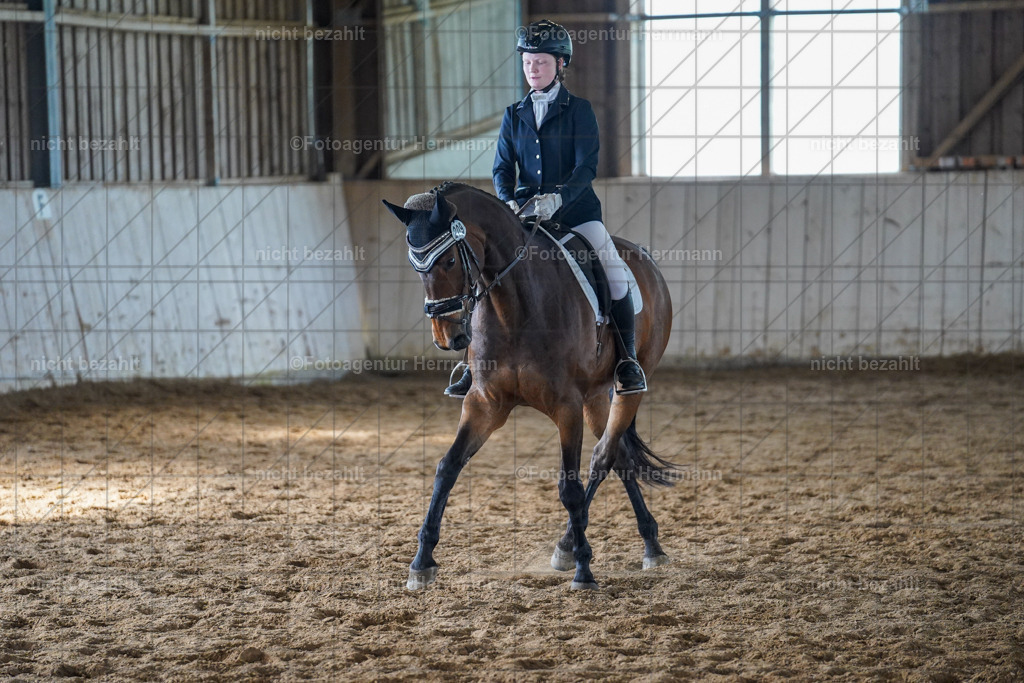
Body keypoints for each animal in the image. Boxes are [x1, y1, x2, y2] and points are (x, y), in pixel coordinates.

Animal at [382, 182, 675, 590]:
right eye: (415, 265)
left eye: (450, 261)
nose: (447, 337)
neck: (514, 307)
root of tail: (645, 259)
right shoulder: (484, 403)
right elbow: (447, 468)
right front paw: (422, 562)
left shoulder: (566, 406)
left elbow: (569, 487)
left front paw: (584, 571)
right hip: (595, 396)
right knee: (618, 456)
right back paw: (643, 543)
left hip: (628, 386)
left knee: (603, 457)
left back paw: (581, 547)